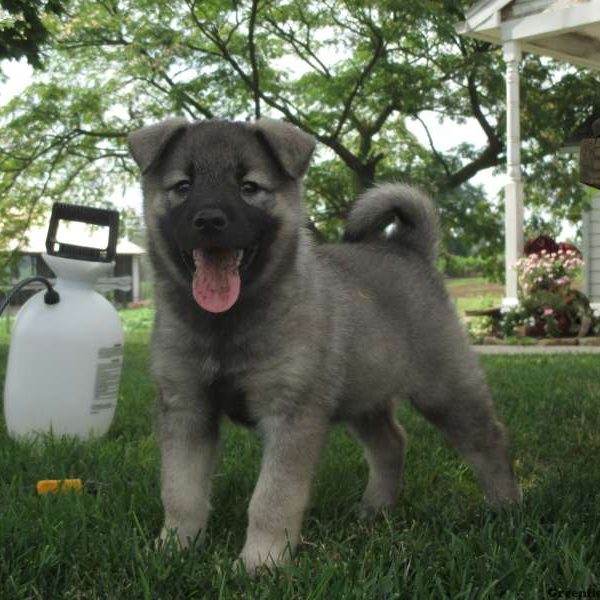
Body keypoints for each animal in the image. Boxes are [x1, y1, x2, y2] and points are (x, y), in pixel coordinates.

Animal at [126, 117, 520, 572]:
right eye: (183, 186)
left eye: (249, 187)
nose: (209, 220)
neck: (226, 324)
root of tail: (408, 251)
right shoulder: (186, 409)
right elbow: (180, 489)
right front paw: (174, 547)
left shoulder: (291, 414)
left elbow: (272, 498)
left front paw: (260, 562)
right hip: (364, 394)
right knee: (391, 443)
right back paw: (375, 509)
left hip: (445, 389)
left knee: (486, 438)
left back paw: (506, 507)